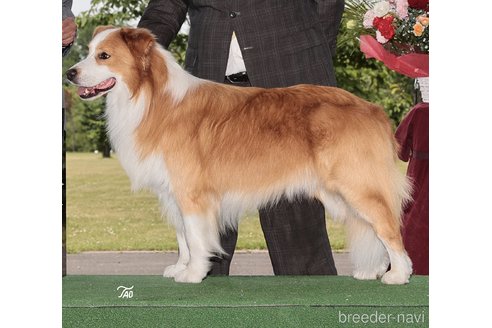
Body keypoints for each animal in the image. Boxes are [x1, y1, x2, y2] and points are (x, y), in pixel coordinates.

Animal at [65, 26, 412, 284]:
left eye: (104, 56)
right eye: (88, 52)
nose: (69, 73)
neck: (150, 97)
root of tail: (372, 109)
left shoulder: (192, 192)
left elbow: (195, 236)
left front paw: (194, 274)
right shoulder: (172, 190)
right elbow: (182, 236)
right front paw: (182, 267)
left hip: (357, 184)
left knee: (388, 227)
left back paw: (398, 274)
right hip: (339, 192)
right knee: (370, 228)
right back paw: (372, 271)